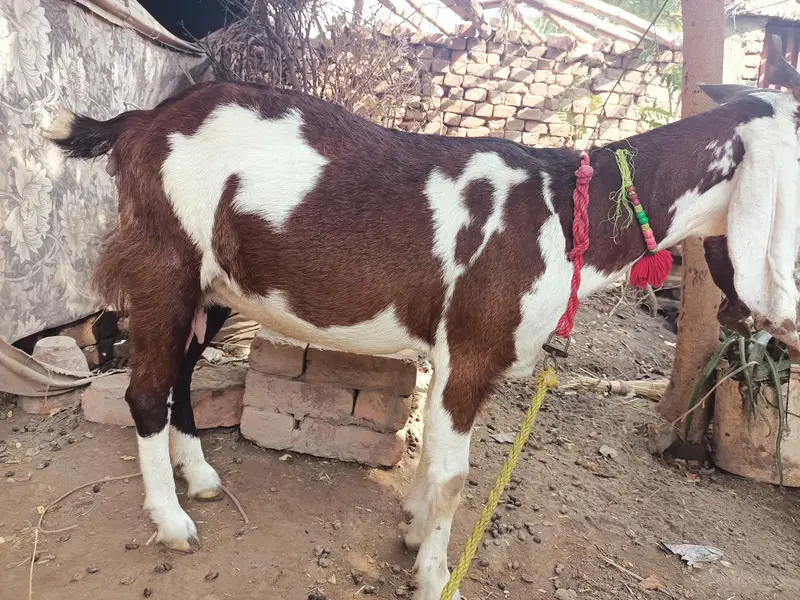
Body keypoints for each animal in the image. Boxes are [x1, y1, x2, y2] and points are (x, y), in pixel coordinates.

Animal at [46, 36, 800, 600]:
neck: (565, 213)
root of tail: (141, 122)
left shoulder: (447, 350)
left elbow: (433, 459)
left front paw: (411, 532)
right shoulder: (474, 350)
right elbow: (454, 476)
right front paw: (437, 577)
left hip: (211, 287)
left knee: (177, 377)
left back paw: (200, 481)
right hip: (164, 263)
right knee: (146, 390)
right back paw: (173, 522)